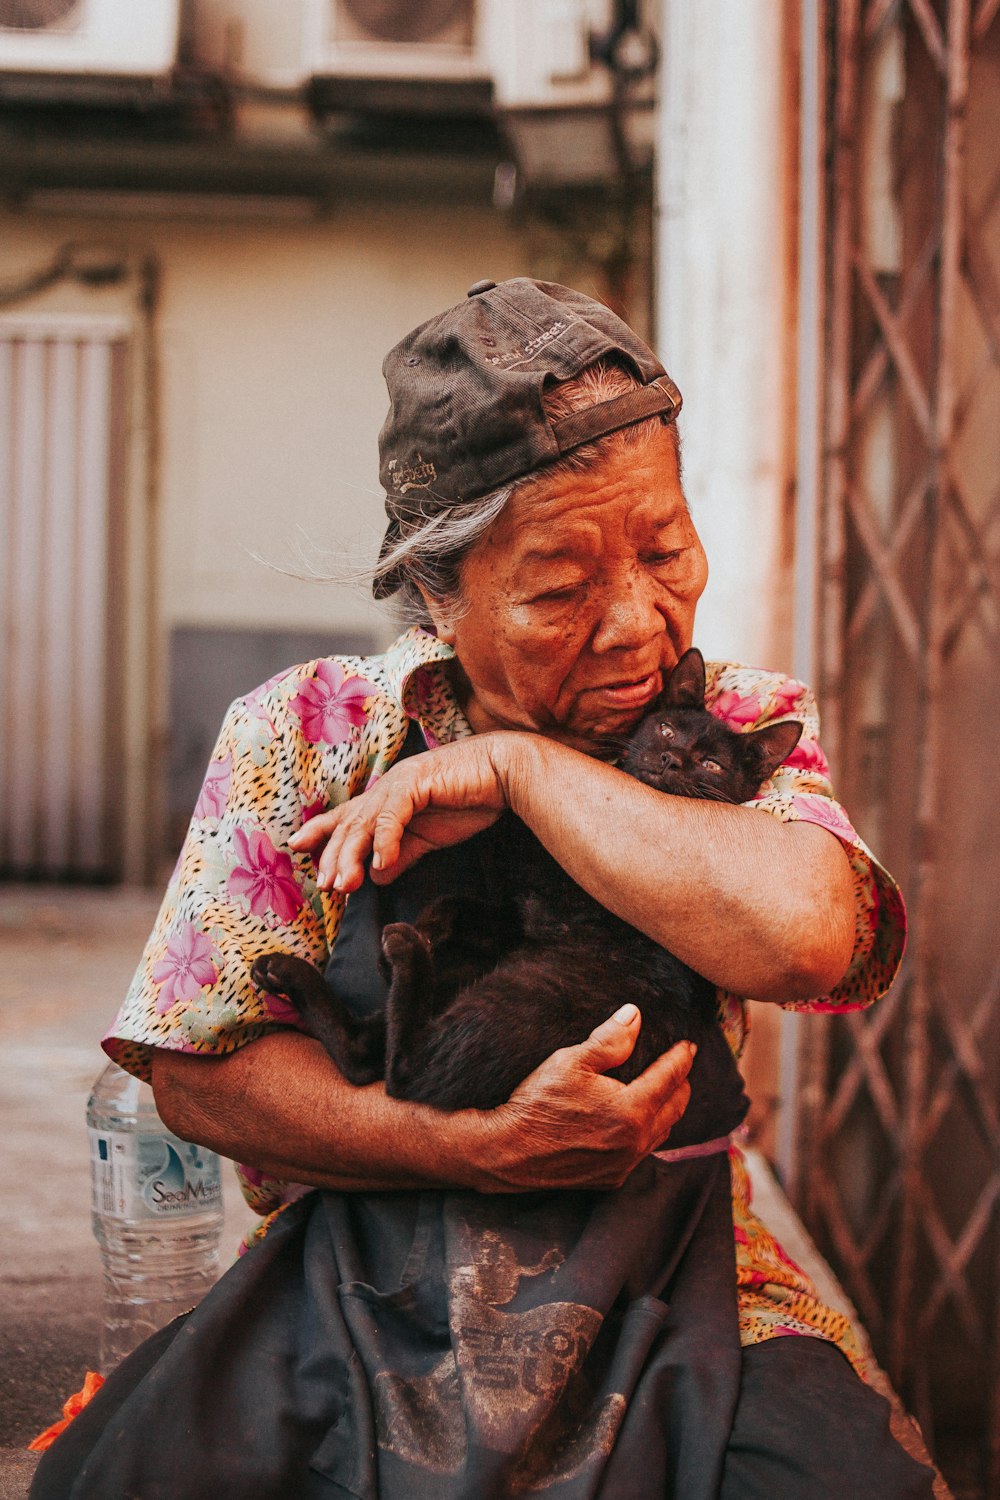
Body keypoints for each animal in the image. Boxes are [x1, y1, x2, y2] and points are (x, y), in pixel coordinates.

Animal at [254, 651, 803, 1140]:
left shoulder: (536, 894)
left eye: (711, 764)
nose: (671, 758)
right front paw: (432, 925)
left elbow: (486, 870)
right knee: (365, 1051)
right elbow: (461, 906)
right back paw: (295, 969)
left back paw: (401, 954)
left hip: (522, 1000)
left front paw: (422, 932)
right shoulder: (521, 916)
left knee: (401, 1072)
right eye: (667, 730)